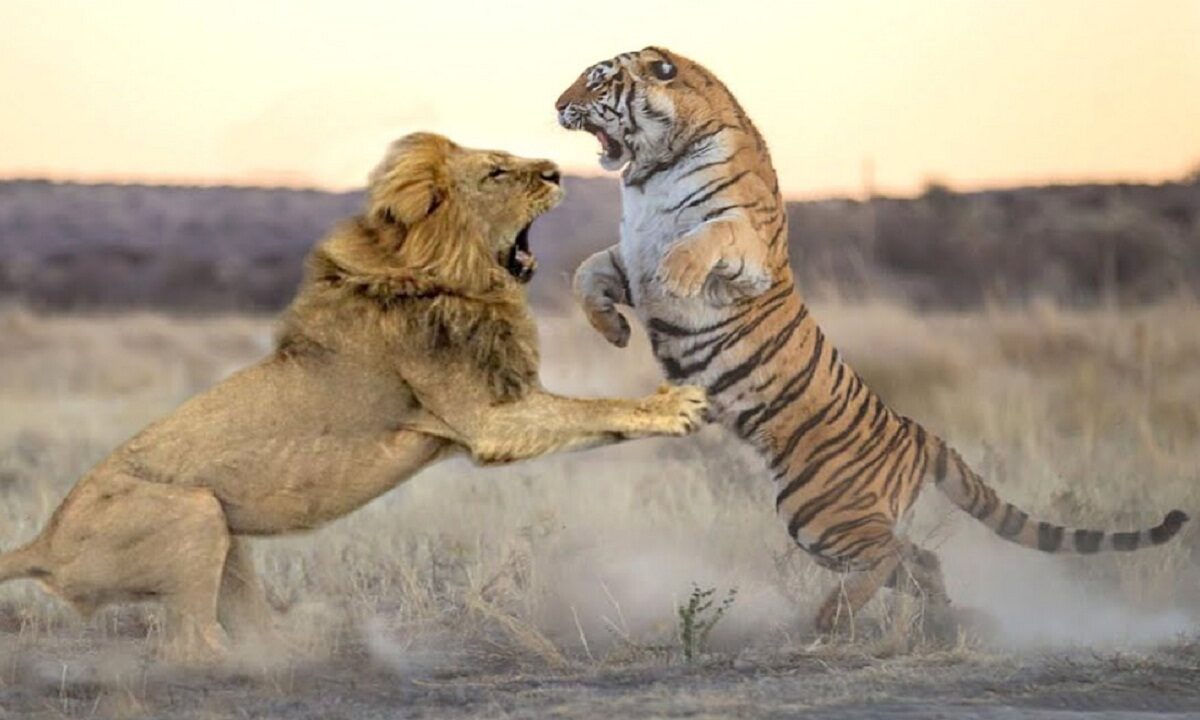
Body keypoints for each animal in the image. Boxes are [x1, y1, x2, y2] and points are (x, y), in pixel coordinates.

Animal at [0, 132, 708, 658]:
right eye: (496, 172)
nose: (559, 171)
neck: (446, 273)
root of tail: (45, 543)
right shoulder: (488, 420)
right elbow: (593, 410)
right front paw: (673, 405)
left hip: (225, 534)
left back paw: (295, 650)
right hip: (192, 512)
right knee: (191, 648)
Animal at [555, 46, 1189, 633]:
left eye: (599, 80)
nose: (558, 105)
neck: (651, 171)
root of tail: (919, 434)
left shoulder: (749, 251)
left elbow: (708, 237)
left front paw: (676, 277)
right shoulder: (627, 254)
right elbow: (586, 271)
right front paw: (612, 328)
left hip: (818, 511)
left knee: (892, 554)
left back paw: (831, 620)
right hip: (828, 522)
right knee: (920, 558)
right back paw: (934, 622)